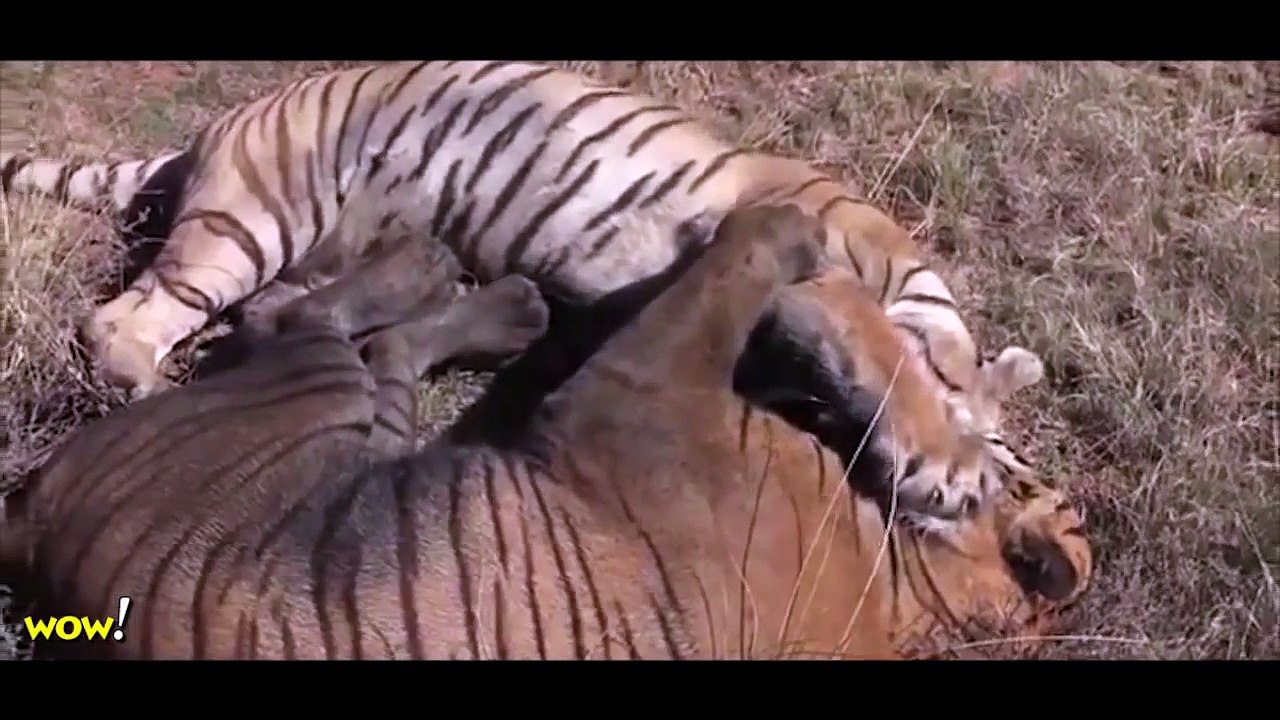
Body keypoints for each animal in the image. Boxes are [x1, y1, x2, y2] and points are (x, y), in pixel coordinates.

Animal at [0, 60, 1041, 527]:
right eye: (1010, 462)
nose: (1002, 492)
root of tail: (217, 127)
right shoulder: (823, 267)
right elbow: (889, 356)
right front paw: (948, 462)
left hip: (305, 252)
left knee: (272, 316)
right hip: (250, 223)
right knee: (123, 316)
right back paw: (141, 384)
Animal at [1, 204, 1091, 660]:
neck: (902, 588)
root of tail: (29, 529)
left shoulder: (645, 375)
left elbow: (737, 256)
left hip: (311, 405)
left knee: (311, 319)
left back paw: (457, 279)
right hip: (371, 430)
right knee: (360, 335)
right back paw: (486, 295)